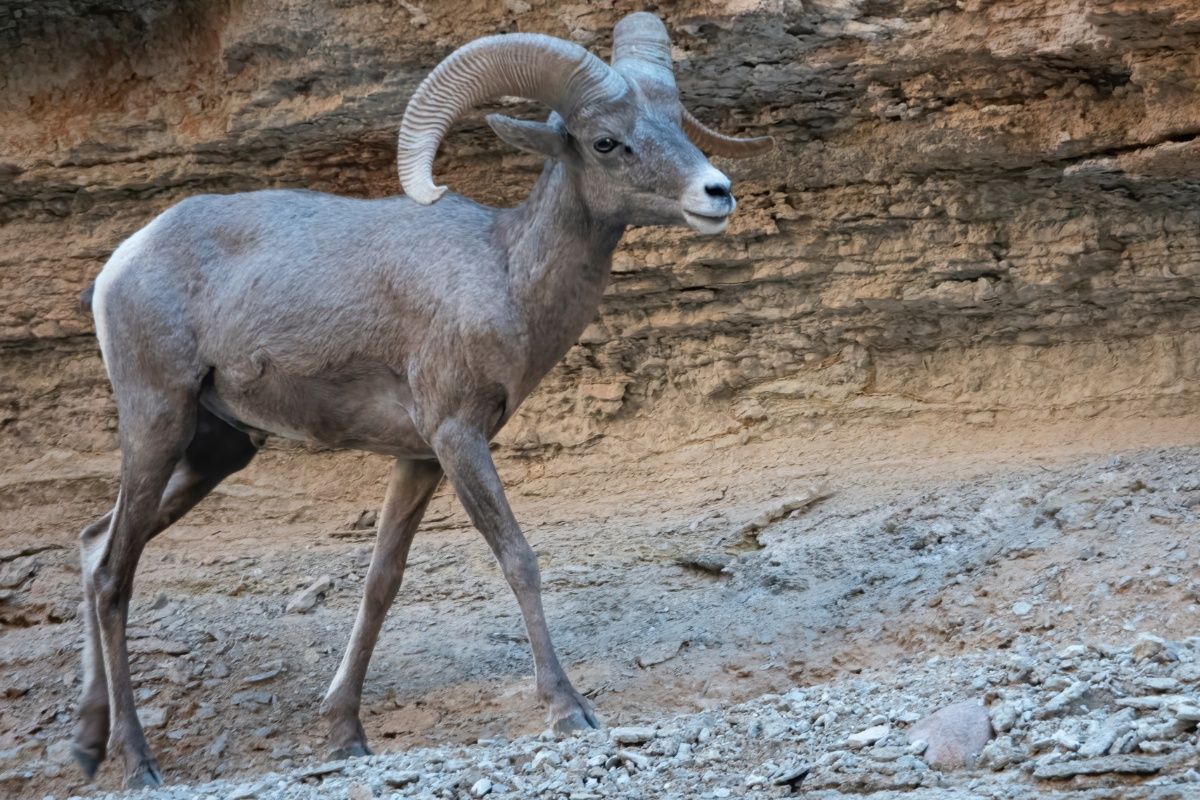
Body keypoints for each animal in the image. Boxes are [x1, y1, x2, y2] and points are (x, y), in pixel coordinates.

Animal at [74, 12, 772, 788]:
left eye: (676, 123)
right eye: (605, 141)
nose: (717, 192)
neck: (504, 275)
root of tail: (123, 262)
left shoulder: (419, 460)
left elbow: (382, 583)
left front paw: (345, 734)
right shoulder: (457, 438)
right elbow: (518, 559)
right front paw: (568, 710)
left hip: (215, 451)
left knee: (93, 547)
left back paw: (86, 745)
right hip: (157, 423)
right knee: (113, 576)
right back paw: (137, 764)